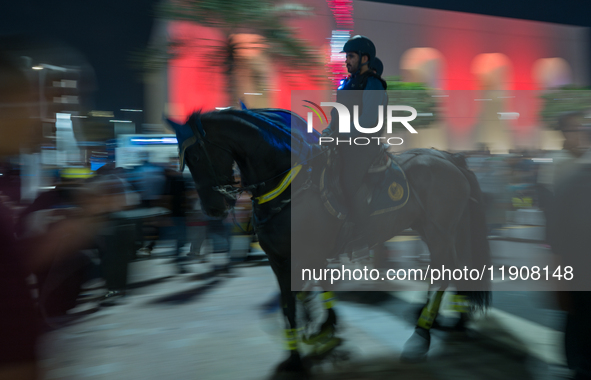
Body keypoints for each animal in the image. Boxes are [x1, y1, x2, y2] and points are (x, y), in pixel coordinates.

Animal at [166, 108, 490, 376]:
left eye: (195, 157)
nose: (212, 209)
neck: (287, 185)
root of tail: (448, 157)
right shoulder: (282, 260)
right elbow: (299, 299)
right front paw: (316, 339)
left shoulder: (304, 255)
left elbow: (301, 297)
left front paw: (313, 342)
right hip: (437, 228)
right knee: (457, 267)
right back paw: (455, 321)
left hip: (439, 230)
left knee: (444, 270)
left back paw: (421, 334)